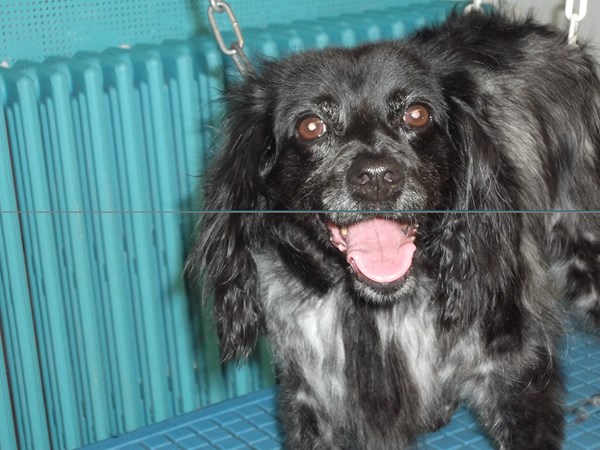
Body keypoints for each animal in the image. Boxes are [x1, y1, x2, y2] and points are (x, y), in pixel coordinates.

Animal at [185, 11, 600, 449]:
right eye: (311, 126)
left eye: (416, 114)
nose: (377, 178)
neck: (377, 313)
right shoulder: (311, 396)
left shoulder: (517, 375)